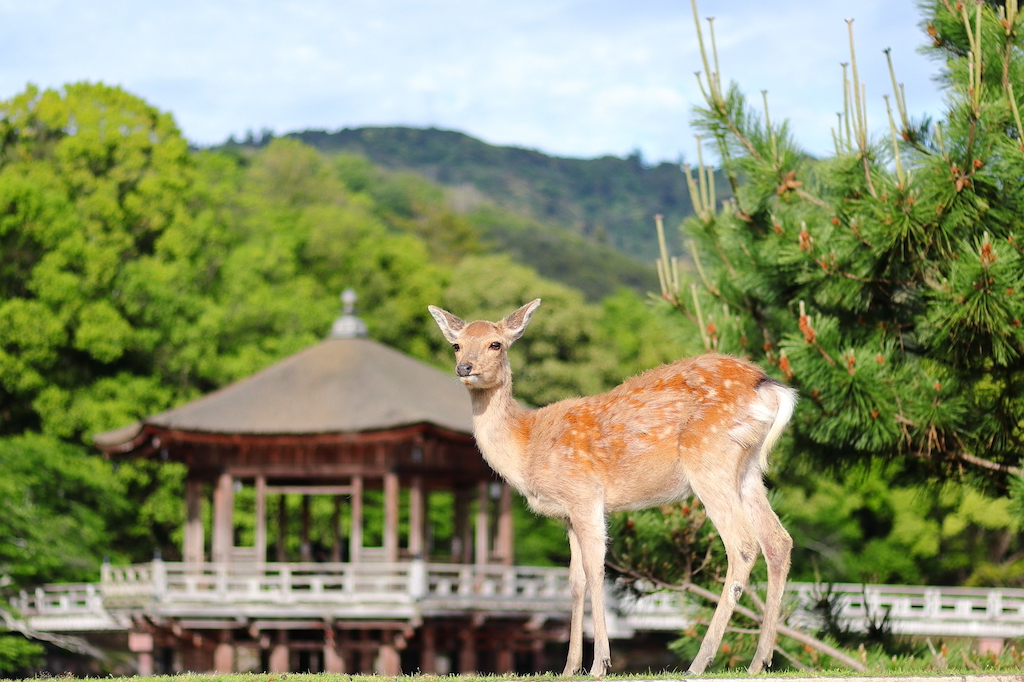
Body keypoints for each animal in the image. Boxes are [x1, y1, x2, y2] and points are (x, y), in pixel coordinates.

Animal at [428, 299, 794, 675]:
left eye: (495, 344)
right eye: (456, 344)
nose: (464, 367)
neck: (527, 447)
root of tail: (768, 386)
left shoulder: (584, 494)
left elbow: (595, 571)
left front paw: (599, 663)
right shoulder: (567, 514)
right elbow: (575, 581)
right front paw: (569, 667)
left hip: (709, 458)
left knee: (743, 545)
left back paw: (699, 661)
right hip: (748, 469)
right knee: (778, 540)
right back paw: (759, 660)